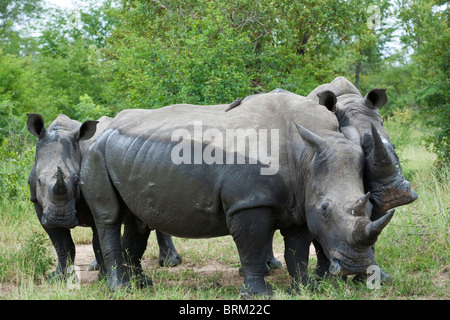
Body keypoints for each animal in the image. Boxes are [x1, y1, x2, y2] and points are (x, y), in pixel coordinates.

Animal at [26, 113, 180, 280]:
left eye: (77, 180)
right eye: (39, 180)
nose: (59, 218)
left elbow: (97, 242)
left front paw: (104, 277)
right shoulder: (39, 204)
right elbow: (62, 243)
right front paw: (58, 277)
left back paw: (170, 263)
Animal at [81, 94, 394, 296]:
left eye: (370, 209)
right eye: (326, 209)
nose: (356, 266)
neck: (306, 154)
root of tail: (104, 128)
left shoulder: (300, 200)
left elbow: (297, 250)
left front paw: (305, 289)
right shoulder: (249, 202)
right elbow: (252, 247)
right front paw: (259, 295)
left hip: (130, 155)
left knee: (136, 220)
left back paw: (141, 285)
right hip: (95, 153)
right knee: (109, 218)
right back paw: (120, 288)